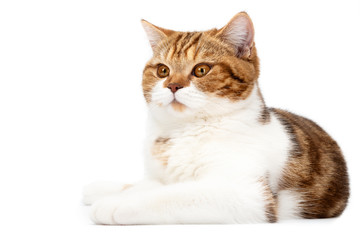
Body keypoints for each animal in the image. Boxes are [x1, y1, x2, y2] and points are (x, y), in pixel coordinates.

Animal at [83, 12, 348, 224]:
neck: (185, 130)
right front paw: (109, 189)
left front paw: (117, 203)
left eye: (201, 70)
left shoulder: (249, 195)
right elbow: (146, 183)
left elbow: (174, 193)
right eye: (162, 70)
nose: (173, 86)